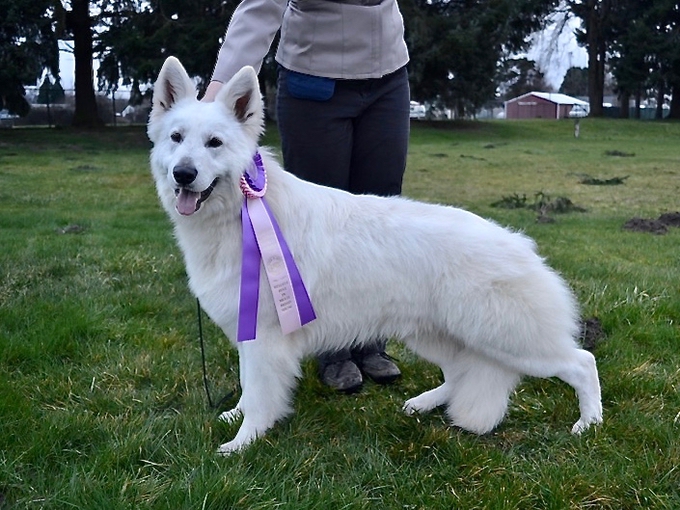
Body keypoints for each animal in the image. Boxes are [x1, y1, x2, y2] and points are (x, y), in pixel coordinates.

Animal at [147, 56, 600, 454]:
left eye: (215, 143)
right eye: (176, 138)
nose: (183, 175)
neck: (242, 213)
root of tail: (521, 245)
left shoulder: (265, 339)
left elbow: (259, 397)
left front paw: (243, 443)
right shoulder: (251, 336)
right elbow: (247, 387)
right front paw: (235, 417)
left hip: (511, 339)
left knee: (583, 362)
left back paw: (589, 424)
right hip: (436, 335)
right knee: (460, 373)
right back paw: (424, 403)